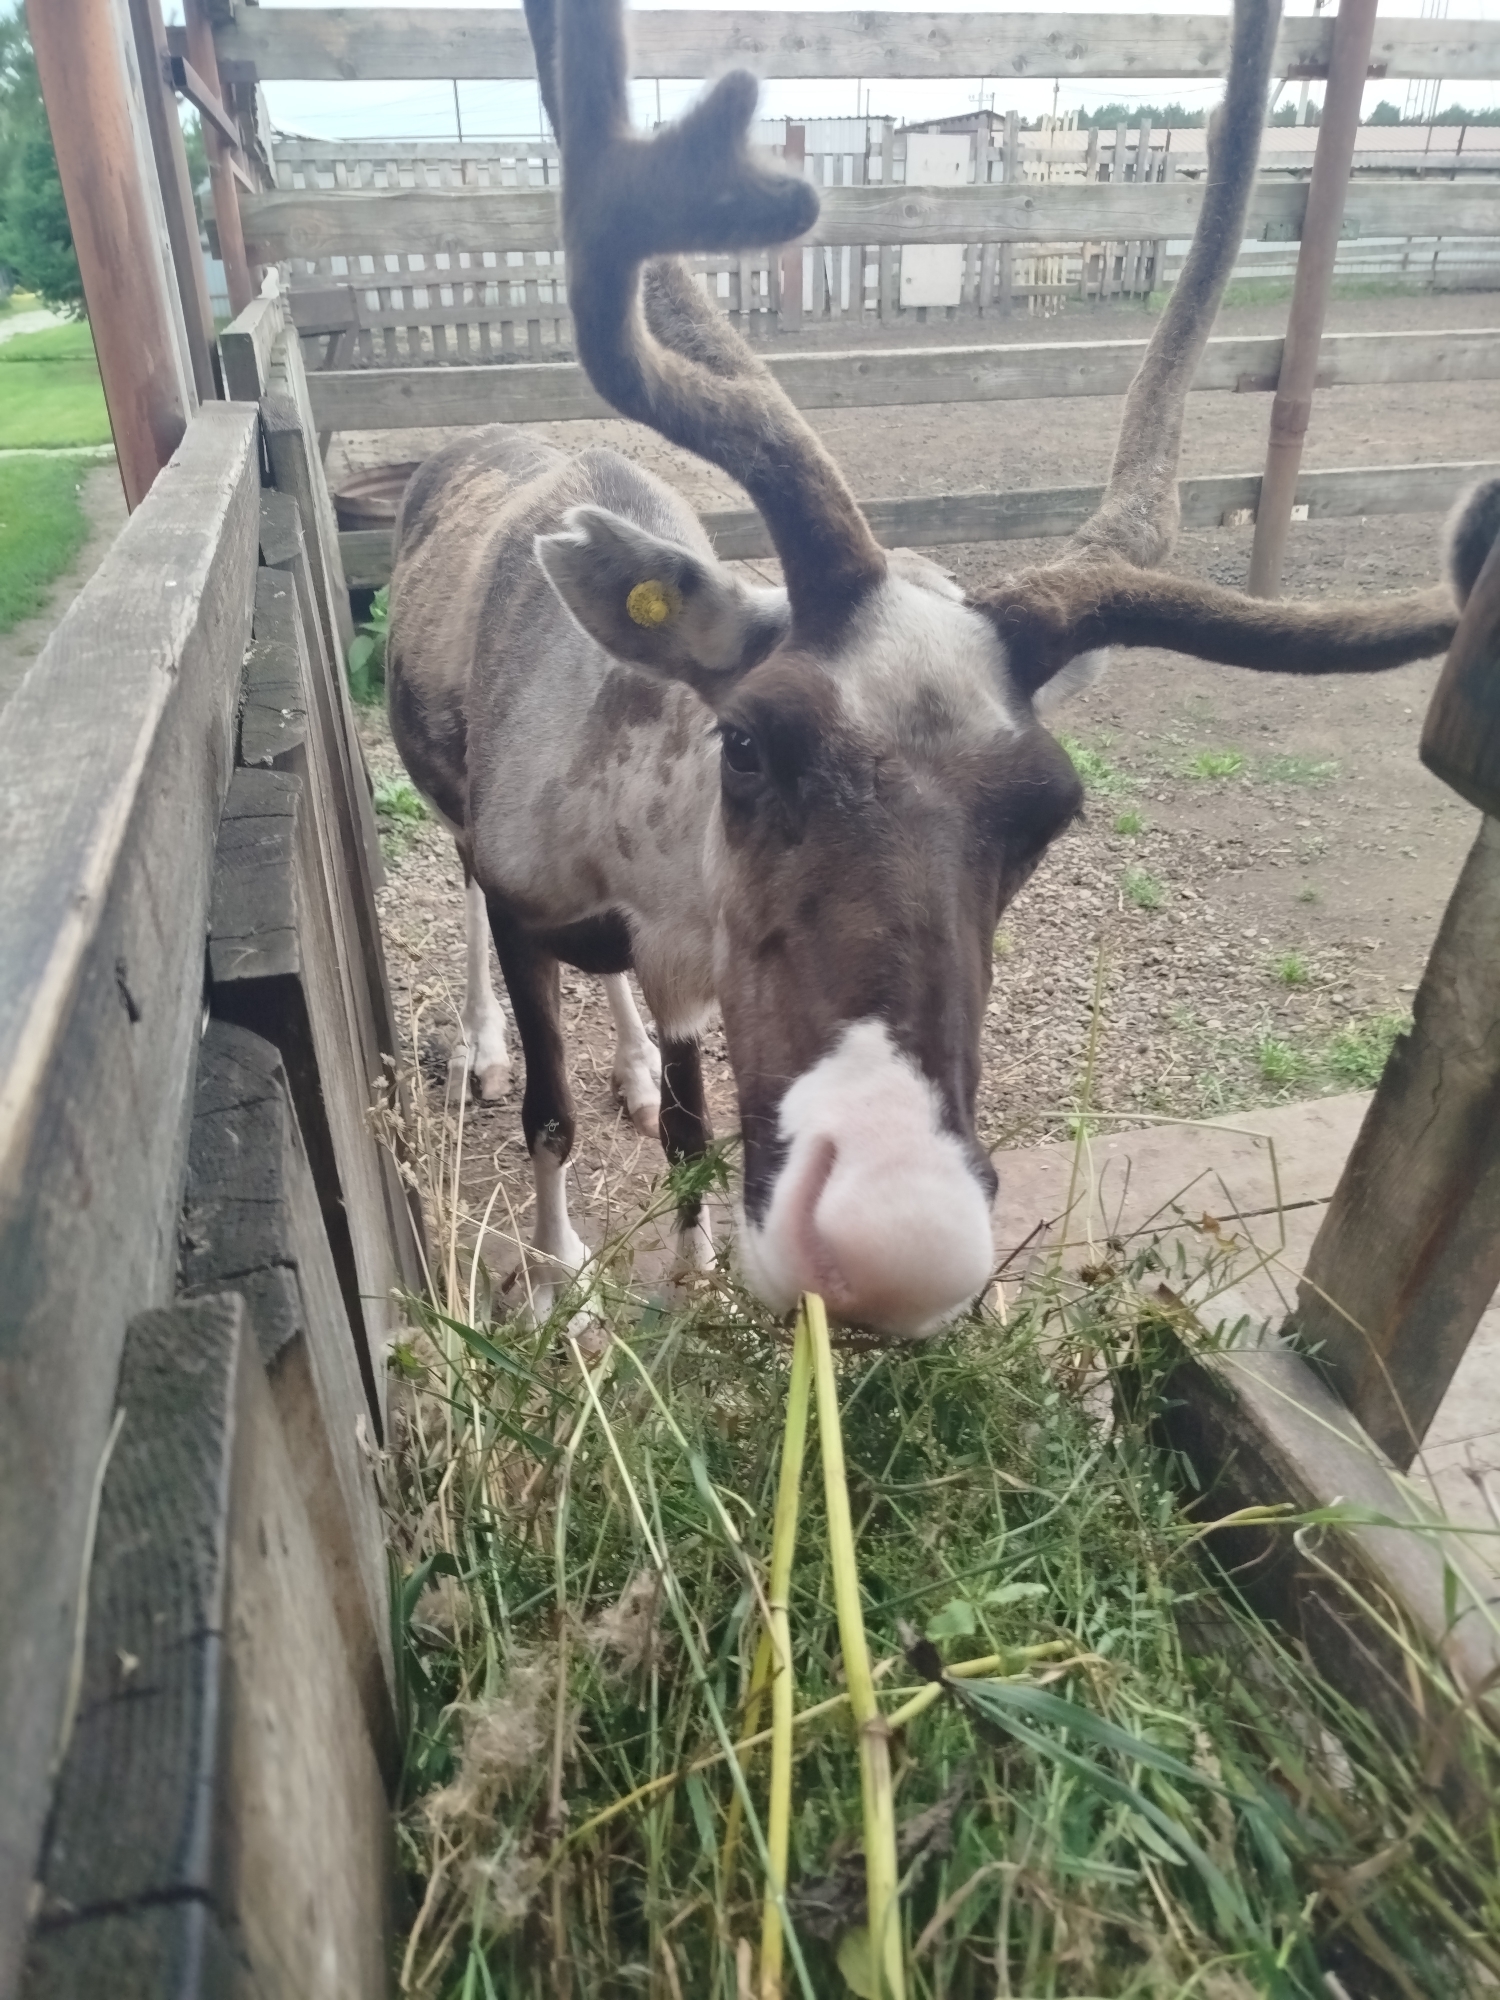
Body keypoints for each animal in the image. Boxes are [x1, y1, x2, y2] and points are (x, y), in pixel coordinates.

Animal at [386, 0, 1500, 1334]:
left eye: (1052, 809)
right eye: (747, 739)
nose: (892, 1245)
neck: (640, 853)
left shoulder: (699, 966)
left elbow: (699, 1129)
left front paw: (693, 1253)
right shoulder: (526, 896)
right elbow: (548, 1118)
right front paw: (564, 1283)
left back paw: (636, 1066)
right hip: (451, 812)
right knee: (464, 906)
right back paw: (479, 1048)